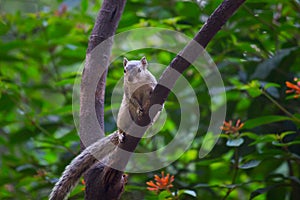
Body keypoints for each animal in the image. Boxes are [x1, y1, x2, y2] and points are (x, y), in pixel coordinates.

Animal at [49, 56, 157, 200]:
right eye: (124, 70)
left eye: (139, 70)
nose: (129, 79)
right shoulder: (128, 92)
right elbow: (133, 100)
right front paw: (139, 108)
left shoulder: (151, 81)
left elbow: (152, 87)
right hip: (123, 115)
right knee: (121, 128)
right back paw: (121, 134)